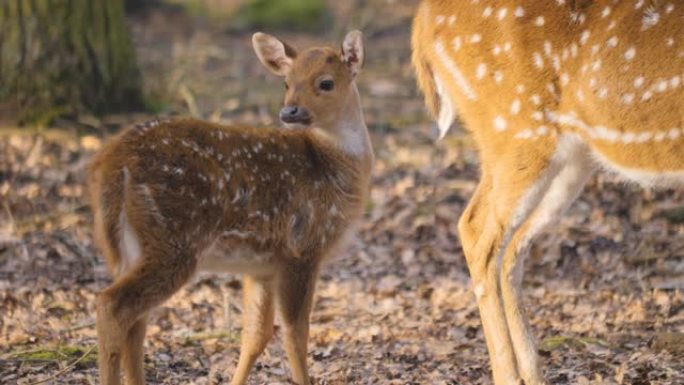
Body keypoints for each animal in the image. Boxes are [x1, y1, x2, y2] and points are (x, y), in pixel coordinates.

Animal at [88, 30, 372, 384]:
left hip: (132, 245)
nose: (289, 112)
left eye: (326, 83)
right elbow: (295, 334)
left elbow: (255, 335)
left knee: (136, 320)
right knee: (112, 306)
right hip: (172, 238)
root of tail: (113, 161)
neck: (334, 165)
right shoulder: (303, 247)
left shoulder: (263, 265)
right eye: (287, 82)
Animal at [414, 2, 680, 384]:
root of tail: (422, 20)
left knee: (509, 245)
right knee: (477, 230)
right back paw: (509, 375)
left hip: (566, 158)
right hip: (516, 129)